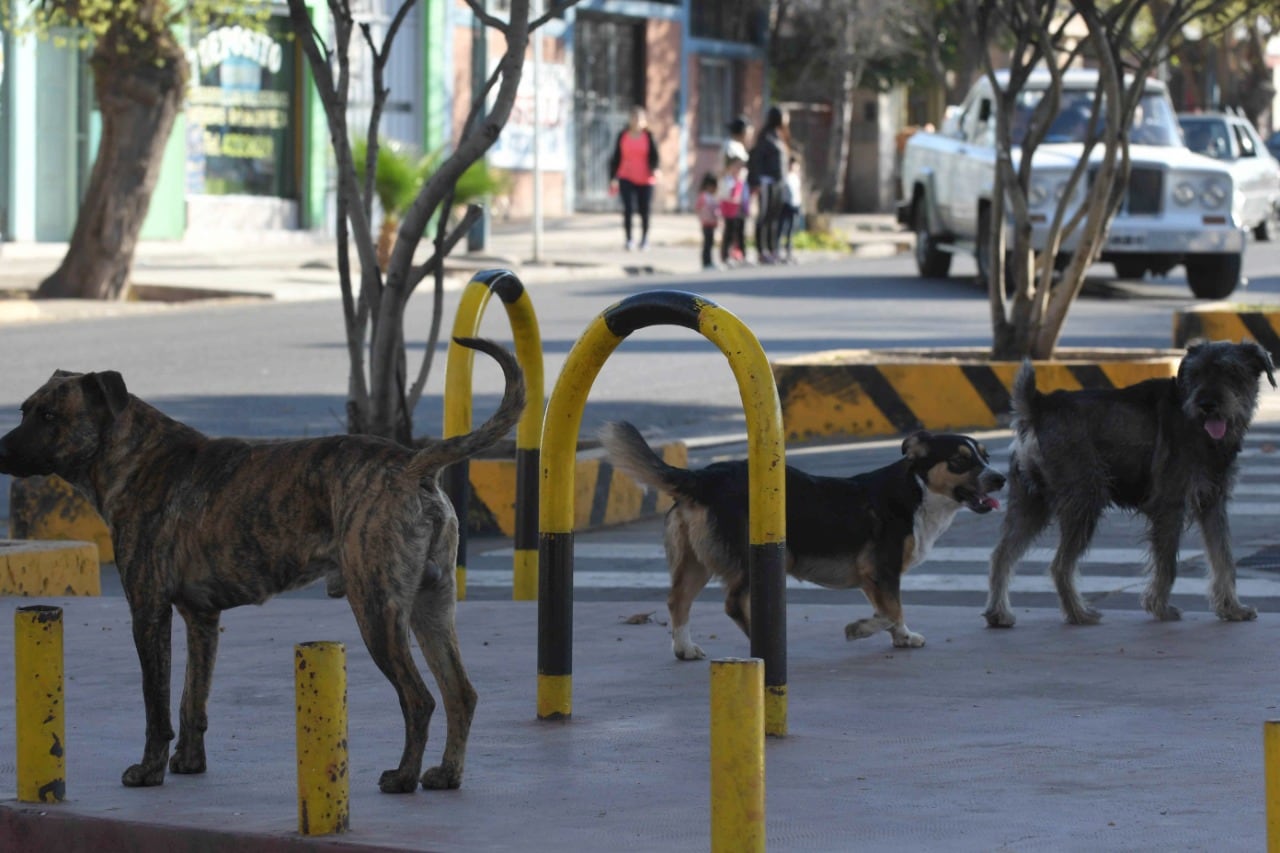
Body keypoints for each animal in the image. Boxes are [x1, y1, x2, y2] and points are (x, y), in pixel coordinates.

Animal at [0, 335, 524, 794]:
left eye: (49, 415)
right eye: (24, 409)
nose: (0, 449)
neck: (136, 458)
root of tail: (414, 464)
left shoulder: (148, 612)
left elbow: (157, 703)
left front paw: (149, 770)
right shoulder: (201, 619)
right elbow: (193, 697)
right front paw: (189, 762)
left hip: (377, 610)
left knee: (419, 699)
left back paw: (403, 778)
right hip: (431, 608)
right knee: (460, 694)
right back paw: (446, 774)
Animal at [601, 422, 1008, 653]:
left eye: (986, 458)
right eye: (960, 461)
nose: (1001, 478)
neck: (917, 490)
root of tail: (703, 477)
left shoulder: (873, 578)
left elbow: (890, 611)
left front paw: (902, 638)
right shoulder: (883, 571)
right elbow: (892, 610)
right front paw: (861, 629)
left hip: (696, 562)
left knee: (677, 600)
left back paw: (685, 648)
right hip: (754, 557)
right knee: (732, 603)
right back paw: (762, 646)